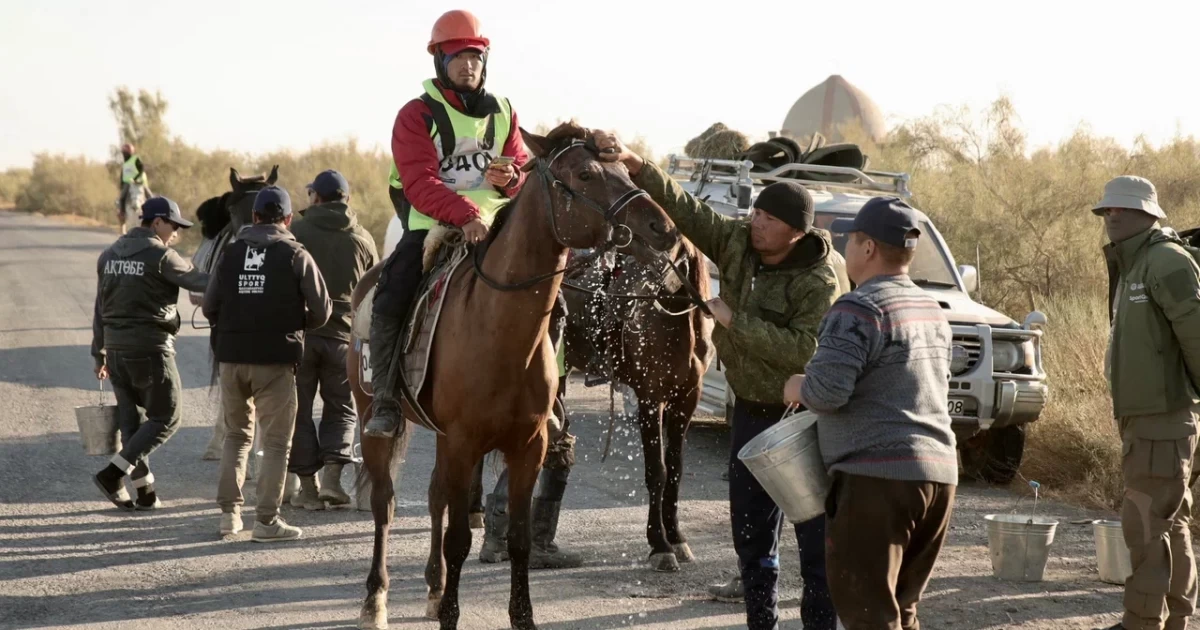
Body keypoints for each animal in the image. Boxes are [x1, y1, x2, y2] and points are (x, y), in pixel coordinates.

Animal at [350, 123, 681, 628]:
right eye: (585, 174)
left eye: (624, 168)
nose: (661, 227)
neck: (499, 327)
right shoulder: (463, 442)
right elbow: (460, 538)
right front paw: (451, 614)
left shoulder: (528, 446)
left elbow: (519, 540)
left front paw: (519, 615)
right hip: (375, 420)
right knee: (384, 504)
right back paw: (375, 600)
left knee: (433, 497)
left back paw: (434, 586)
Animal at [561, 241, 710, 568]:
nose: (628, 303)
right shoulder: (651, 399)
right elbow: (657, 471)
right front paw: (660, 545)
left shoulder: (685, 400)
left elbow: (676, 470)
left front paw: (676, 538)